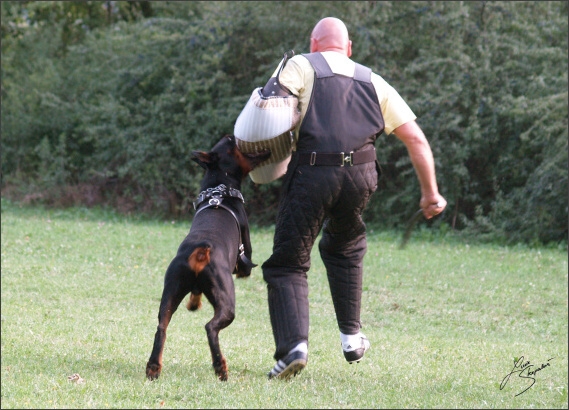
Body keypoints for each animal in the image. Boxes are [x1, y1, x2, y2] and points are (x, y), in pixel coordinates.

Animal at [146, 135, 270, 382]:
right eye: (230, 141)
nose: (232, 134)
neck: (218, 190)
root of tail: (200, 249)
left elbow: (196, 292)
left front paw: (194, 303)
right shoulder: (244, 258)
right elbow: (246, 267)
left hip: (171, 289)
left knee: (161, 327)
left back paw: (154, 367)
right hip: (226, 300)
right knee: (211, 328)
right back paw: (220, 367)